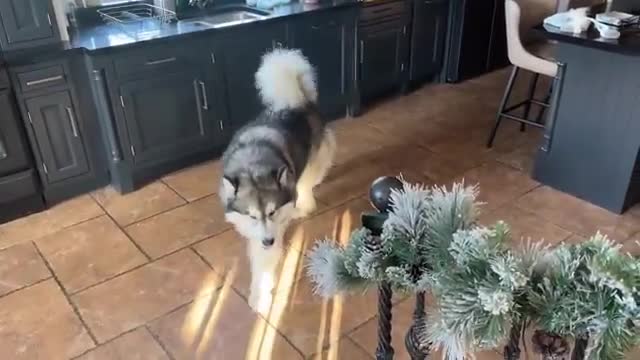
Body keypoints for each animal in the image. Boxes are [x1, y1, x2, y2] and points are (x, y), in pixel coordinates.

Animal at [220, 47, 338, 312]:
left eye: (272, 212)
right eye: (252, 216)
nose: (268, 241)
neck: (253, 163)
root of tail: (298, 100)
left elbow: (265, 264)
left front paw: (261, 296)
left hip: (310, 164)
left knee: (305, 189)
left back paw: (302, 207)